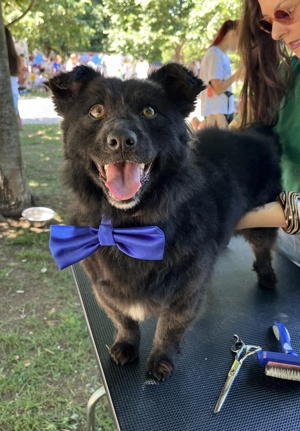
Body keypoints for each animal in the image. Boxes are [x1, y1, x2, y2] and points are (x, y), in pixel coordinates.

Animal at [47, 63, 282, 382]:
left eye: (149, 111)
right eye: (96, 111)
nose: (122, 140)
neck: (130, 227)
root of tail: (255, 134)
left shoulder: (185, 292)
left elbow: (168, 329)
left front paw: (161, 360)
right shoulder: (104, 290)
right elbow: (124, 320)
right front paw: (126, 345)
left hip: (262, 219)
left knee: (263, 249)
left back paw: (267, 275)